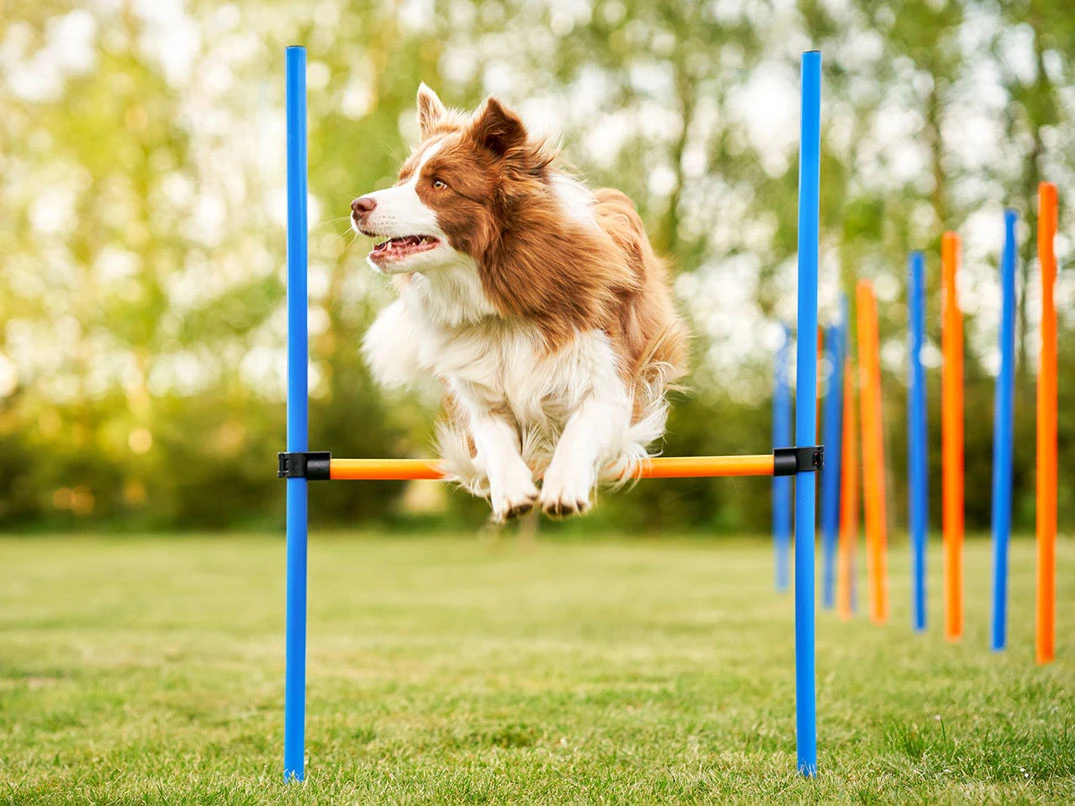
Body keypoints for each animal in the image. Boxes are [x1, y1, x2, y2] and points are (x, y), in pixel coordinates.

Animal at [352, 83, 688, 524]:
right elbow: (493, 439)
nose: (357, 206)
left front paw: (564, 487)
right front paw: (512, 491)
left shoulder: (610, 383)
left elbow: (581, 428)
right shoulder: (479, 394)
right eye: (402, 180)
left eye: (439, 184)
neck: (499, 305)